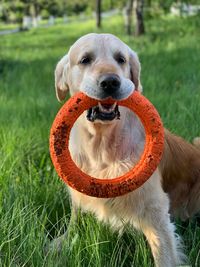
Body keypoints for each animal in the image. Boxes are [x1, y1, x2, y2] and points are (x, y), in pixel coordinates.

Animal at [52, 33, 200, 267]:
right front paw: (61, 243)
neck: (102, 144)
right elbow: (75, 218)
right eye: (85, 59)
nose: (110, 82)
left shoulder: (154, 209)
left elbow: (164, 254)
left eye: (120, 59)